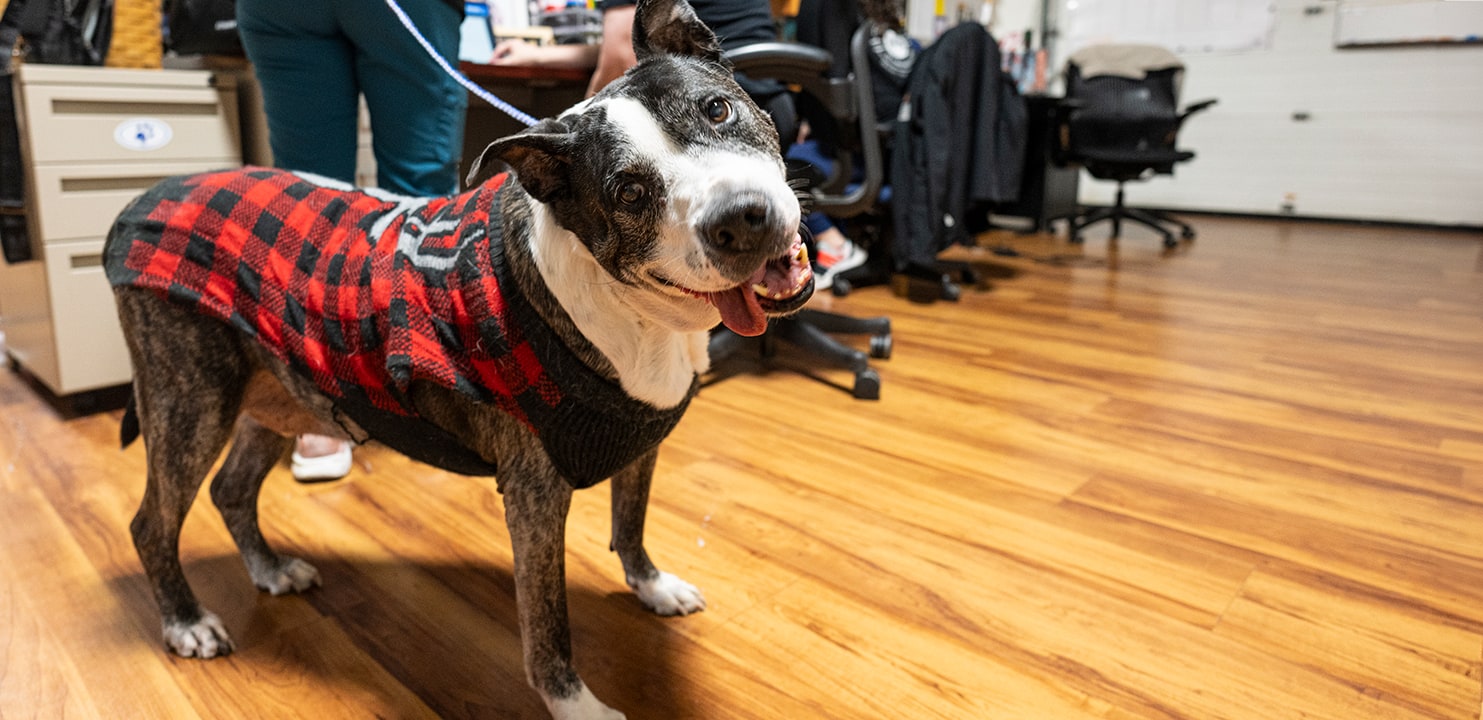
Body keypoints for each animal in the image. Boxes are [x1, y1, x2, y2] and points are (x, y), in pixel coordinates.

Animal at [101, 0, 824, 714]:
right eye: (628, 193)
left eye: (717, 110)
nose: (741, 219)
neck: (638, 314)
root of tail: (143, 198)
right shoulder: (535, 497)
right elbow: (547, 618)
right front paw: (575, 703)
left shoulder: (639, 446)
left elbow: (632, 523)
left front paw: (651, 586)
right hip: (191, 400)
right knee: (150, 522)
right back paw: (187, 620)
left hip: (278, 389)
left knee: (231, 490)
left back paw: (270, 569)